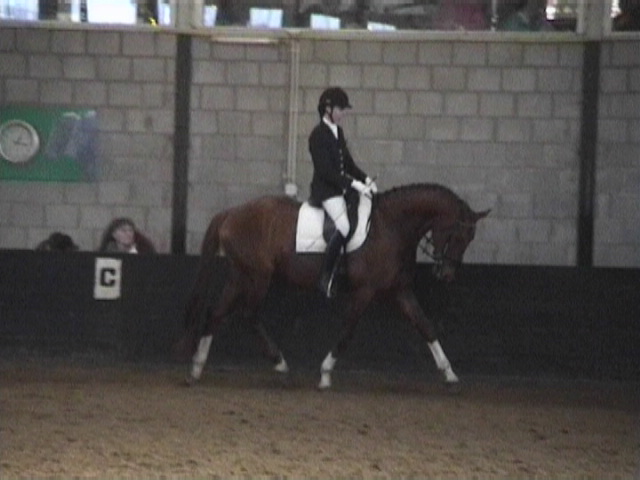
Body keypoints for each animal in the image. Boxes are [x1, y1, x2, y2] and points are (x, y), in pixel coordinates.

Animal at [176, 183, 489, 389]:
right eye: (458, 234)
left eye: (471, 238)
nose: (446, 274)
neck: (391, 226)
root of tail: (230, 213)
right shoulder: (365, 291)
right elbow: (348, 331)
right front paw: (325, 373)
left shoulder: (399, 291)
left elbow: (425, 326)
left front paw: (449, 373)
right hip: (257, 276)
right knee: (247, 314)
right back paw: (279, 362)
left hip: (240, 275)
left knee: (216, 313)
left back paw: (196, 367)